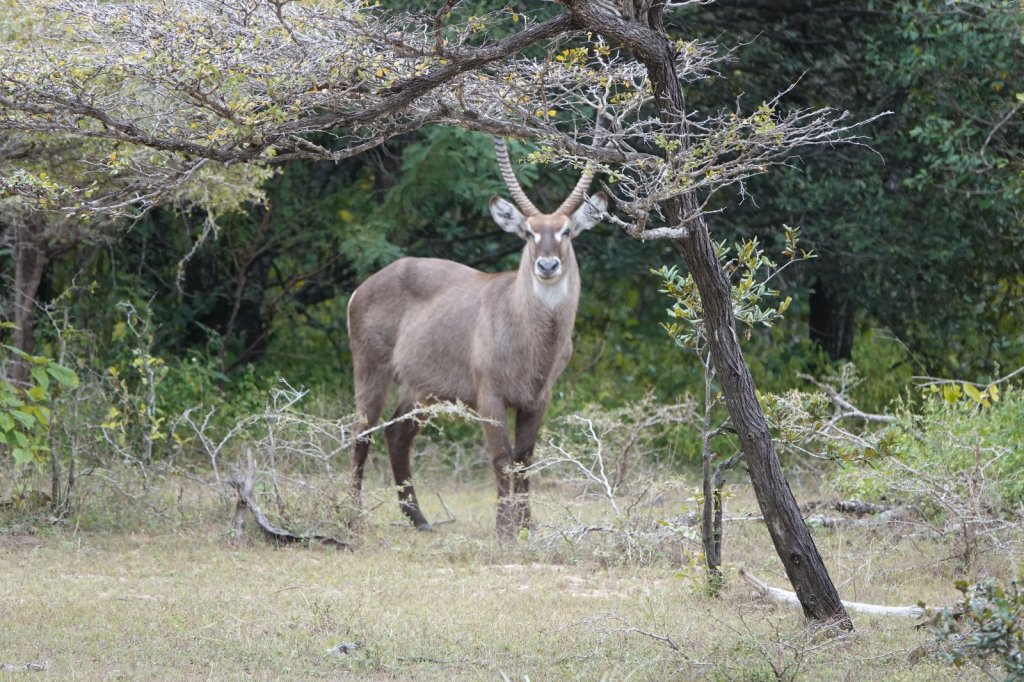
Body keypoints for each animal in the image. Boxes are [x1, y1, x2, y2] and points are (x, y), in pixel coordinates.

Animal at [352, 139, 606, 536]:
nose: (547, 266)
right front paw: (505, 531)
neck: (531, 337)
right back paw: (351, 518)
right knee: (361, 434)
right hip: (370, 371)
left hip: (421, 390)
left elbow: (525, 459)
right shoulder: (491, 397)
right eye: (528, 232)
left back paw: (420, 521)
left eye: (566, 231)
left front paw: (527, 528)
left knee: (396, 434)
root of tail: (363, 287)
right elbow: (502, 459)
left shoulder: (538, 399)